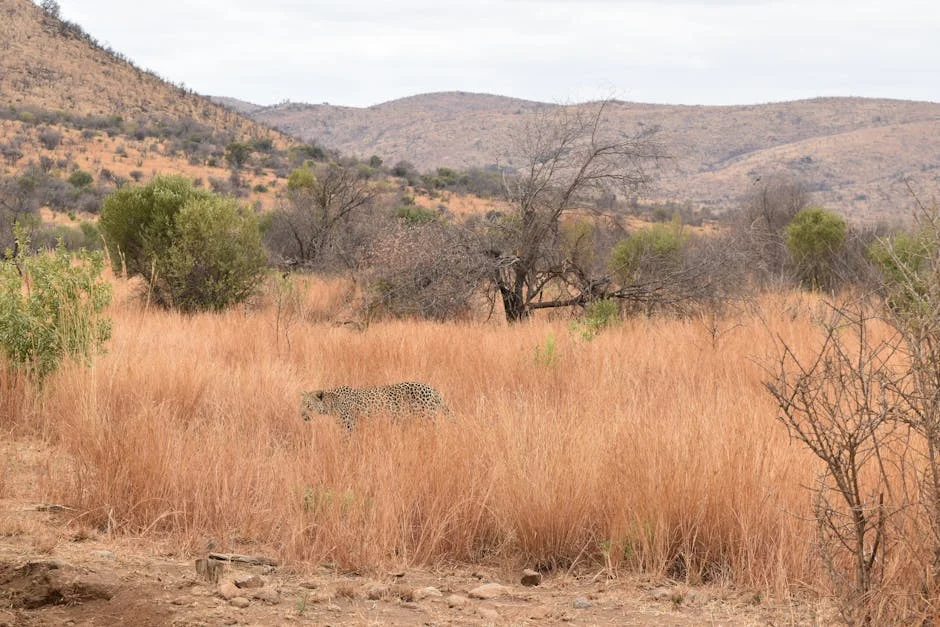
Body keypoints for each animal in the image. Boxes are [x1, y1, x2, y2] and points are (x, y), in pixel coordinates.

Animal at [301, 382, 448, 430]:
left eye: (308, 406)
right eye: (300, 405)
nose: (302, 416)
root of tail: (431, 388)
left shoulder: (349, 426)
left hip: (427, 417)